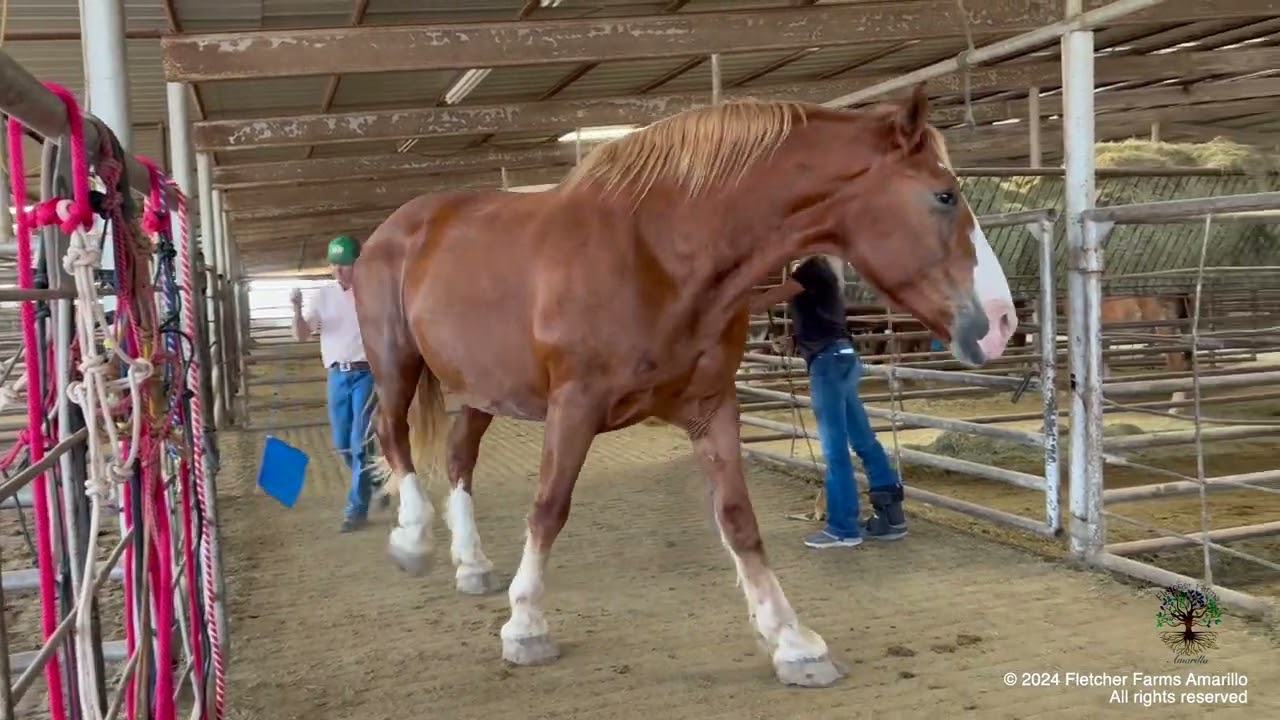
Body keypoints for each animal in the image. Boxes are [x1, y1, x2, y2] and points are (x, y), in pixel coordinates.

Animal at [350, 84, 1018, 688]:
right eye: (944, 194)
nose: (1002, 321)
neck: (657, 251)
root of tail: (396, 228)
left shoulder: (711, 408)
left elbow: (738, 518)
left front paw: (793, 642)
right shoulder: (574, 406)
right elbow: (548, 509)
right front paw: (526, 627)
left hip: (479, 388)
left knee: (459, 455)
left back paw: (471, 564)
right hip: (396, 363)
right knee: (392, 434)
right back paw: (413, 539)